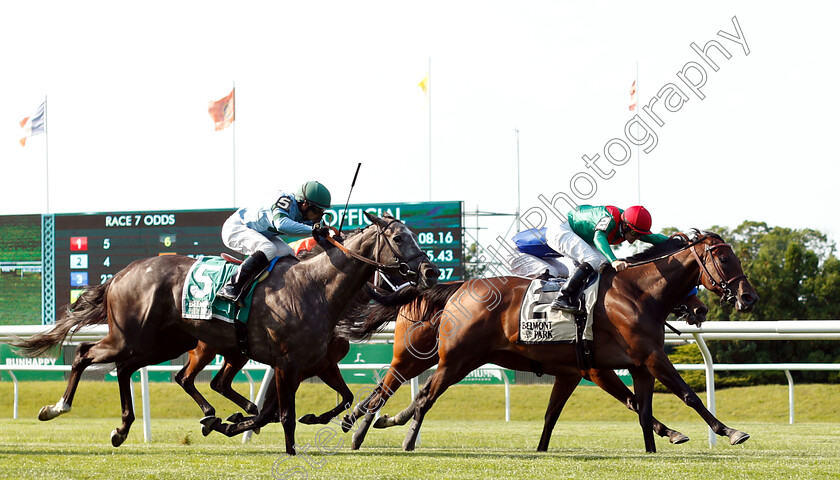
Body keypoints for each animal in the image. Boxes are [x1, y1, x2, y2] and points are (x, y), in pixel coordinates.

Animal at [342, 282, 708, 450]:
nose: (701, 307)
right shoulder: (595, 370)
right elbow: (633, 400)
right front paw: (673, 432)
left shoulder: (571, 374)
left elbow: (553, 414)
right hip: (436, 356)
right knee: (399, 388)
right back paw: (365, 427)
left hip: (440, 357)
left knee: (392, 388)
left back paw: (363, 423)